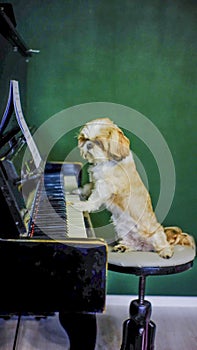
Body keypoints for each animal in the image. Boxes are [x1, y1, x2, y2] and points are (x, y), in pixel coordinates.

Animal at [72, 119, 194, 258]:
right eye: (85, 139)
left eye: (98, 142)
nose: (88, 145)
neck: (106, 162)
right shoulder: (96, 183)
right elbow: (87, 188)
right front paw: (77, 191)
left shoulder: (105, 186)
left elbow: (94, 199)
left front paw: (82, 205)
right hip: (123, 230)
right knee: (136, 246)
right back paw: (123, 247)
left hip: (155, 234)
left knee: (163, 244)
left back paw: (166, 252)